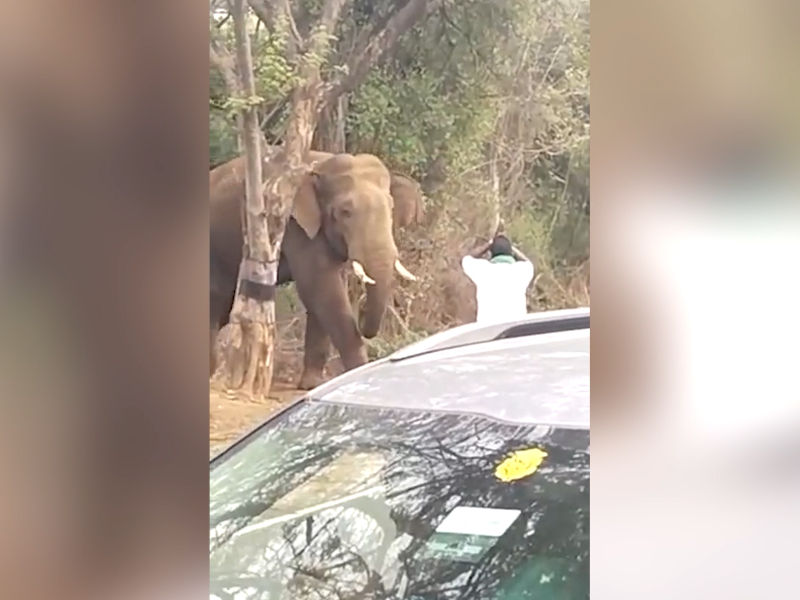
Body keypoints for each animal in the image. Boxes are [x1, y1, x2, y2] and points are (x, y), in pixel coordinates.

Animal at [211, 148, 424, 386]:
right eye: (345, 212)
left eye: (391, 207)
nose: (361, 310)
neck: (322, 165)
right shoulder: (294, 225)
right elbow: (321, 288)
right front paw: (357, 370)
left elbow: (320, 297)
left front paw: (311, 383)